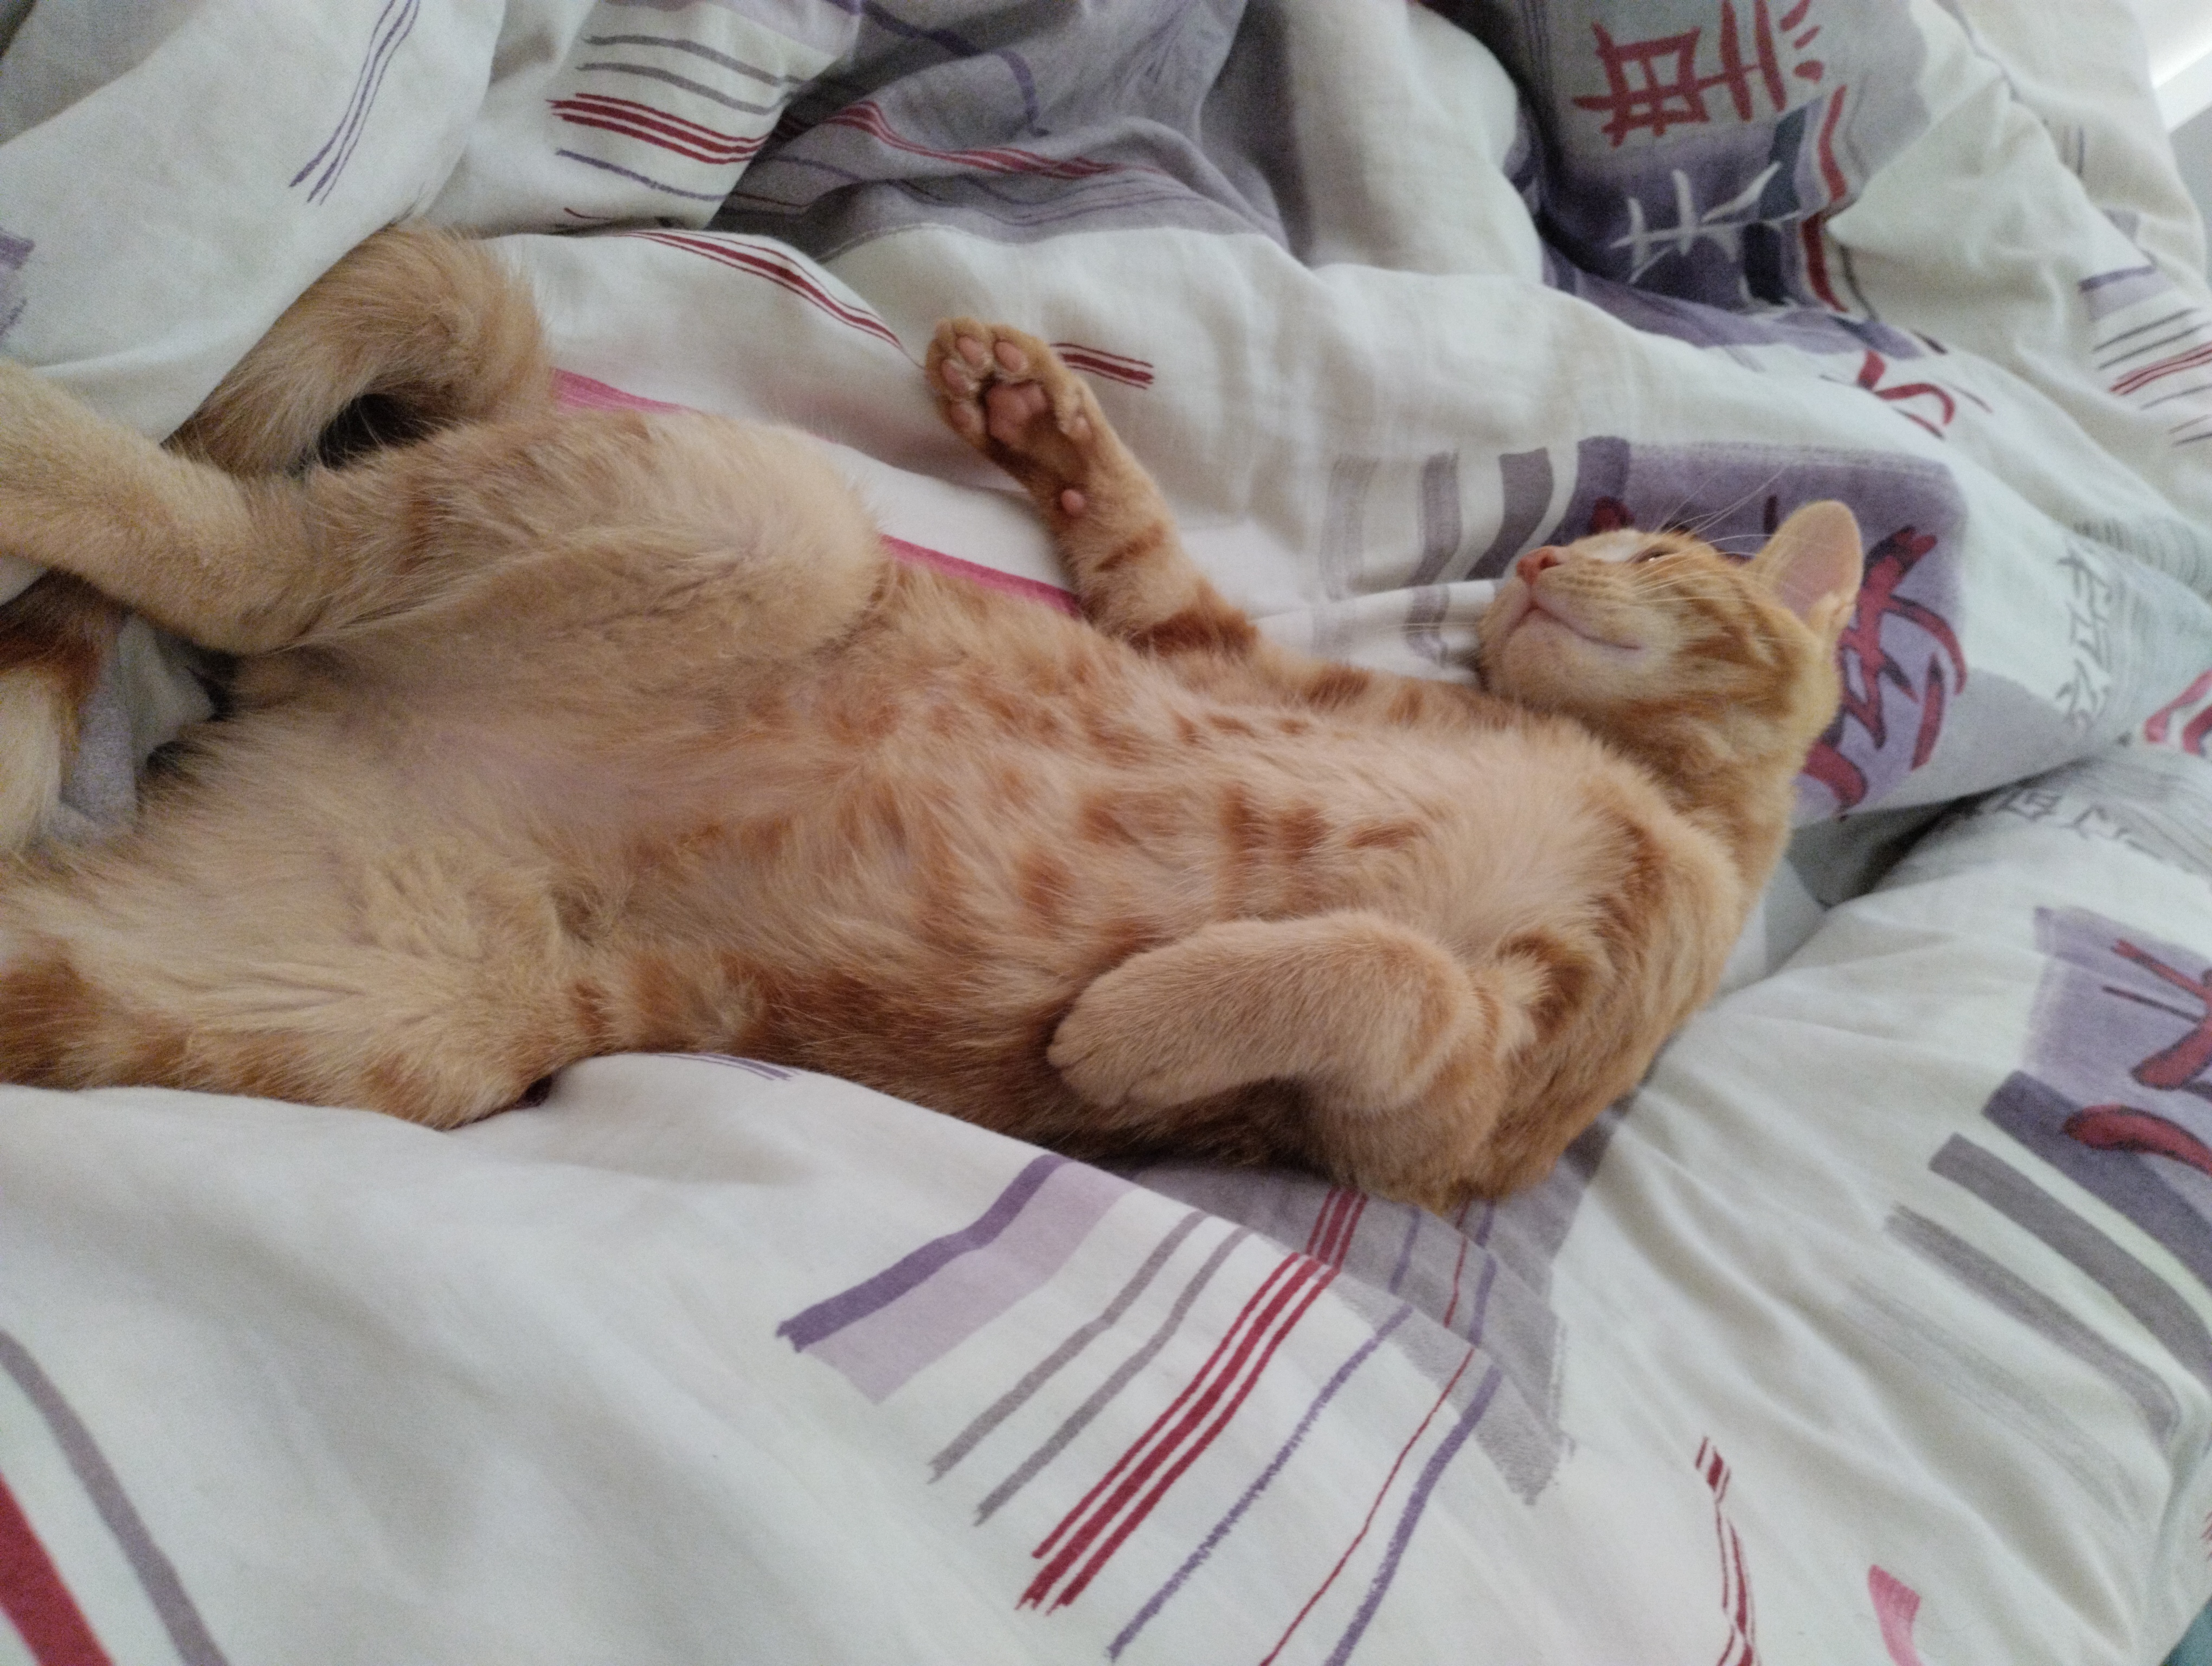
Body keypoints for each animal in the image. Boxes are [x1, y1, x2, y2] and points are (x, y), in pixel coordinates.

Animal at [0, 227, 1861, 1209]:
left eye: (1660, 549)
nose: (1538, 557)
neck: (1637, 783)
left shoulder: (1449, 1123)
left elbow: (1383, 973)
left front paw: (1129, 1032)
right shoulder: (1208, 648)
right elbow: (1134, 535)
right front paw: (1033, 406)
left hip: (341, 997)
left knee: (249, 575)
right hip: (749, 527)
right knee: (267, 545)